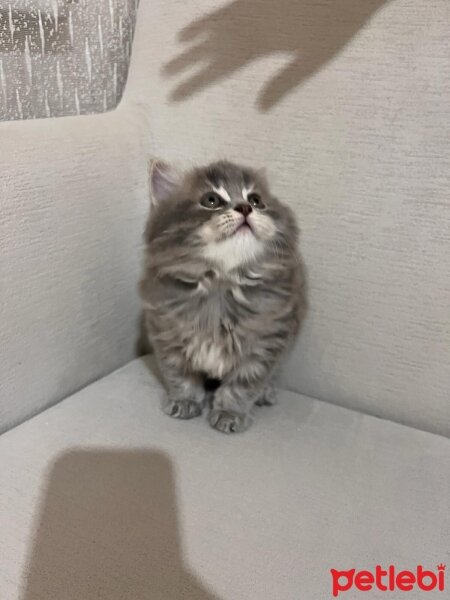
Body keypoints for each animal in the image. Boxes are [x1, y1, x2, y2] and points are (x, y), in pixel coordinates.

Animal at [141, 159, 306, 432]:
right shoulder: (166, 332)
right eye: (211, 200)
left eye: (256, 200)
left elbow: (242, 386)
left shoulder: (265, 343)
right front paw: (184, 400)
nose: (245, 207)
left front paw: (230, 413)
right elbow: (179, 375)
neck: (221, 282)